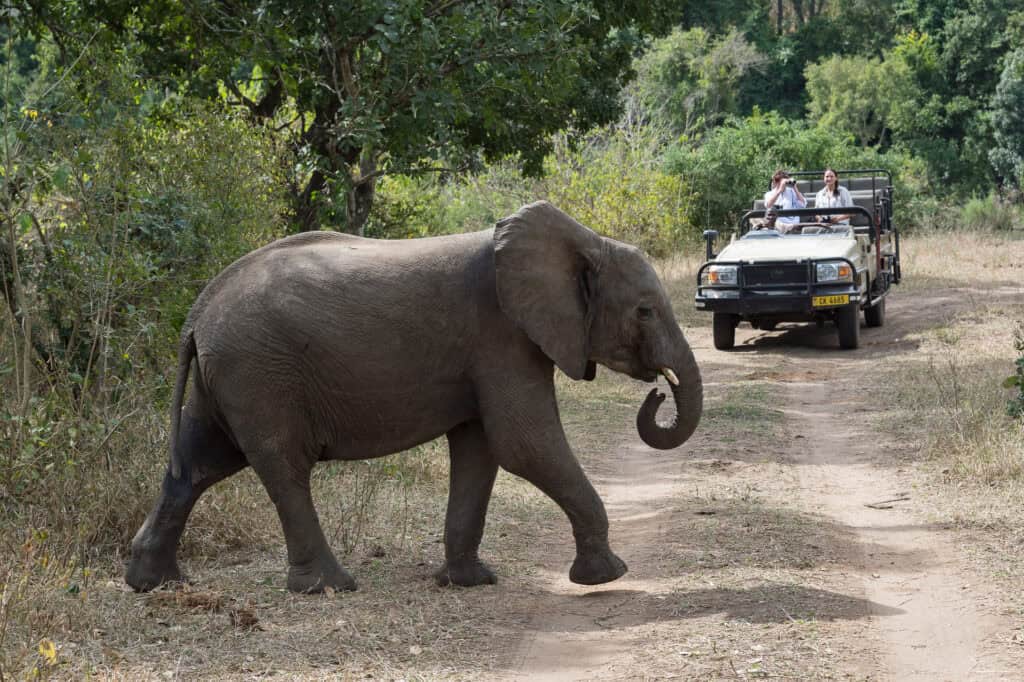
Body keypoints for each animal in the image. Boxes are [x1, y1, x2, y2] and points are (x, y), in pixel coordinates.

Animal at [125, 201, 703, 594]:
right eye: (645, 311)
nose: (658, 391)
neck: (584, 240)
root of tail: (199, 311)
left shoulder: (487, 351)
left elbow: (482, 450)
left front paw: (470, 582)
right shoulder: (502, 336)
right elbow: (524, 444)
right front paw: (606, 576)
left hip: (227, 375)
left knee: (198, 464)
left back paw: (152, 582)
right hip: (259, 371)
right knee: (283, 467)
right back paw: (331, 587)